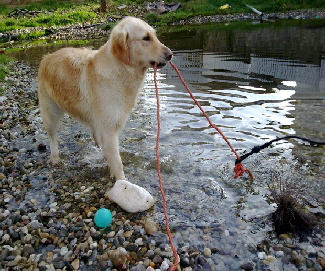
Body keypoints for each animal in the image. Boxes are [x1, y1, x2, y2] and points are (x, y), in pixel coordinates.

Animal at [37, 16, 172, 183]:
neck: (120, 70)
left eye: (154, 35)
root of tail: (47, 56)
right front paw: (123, 183)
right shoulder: (109, 131)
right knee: (52, 137)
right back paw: (55, 158)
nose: (170, 54)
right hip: (50, 113)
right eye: (146, 38)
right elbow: (118, 163)